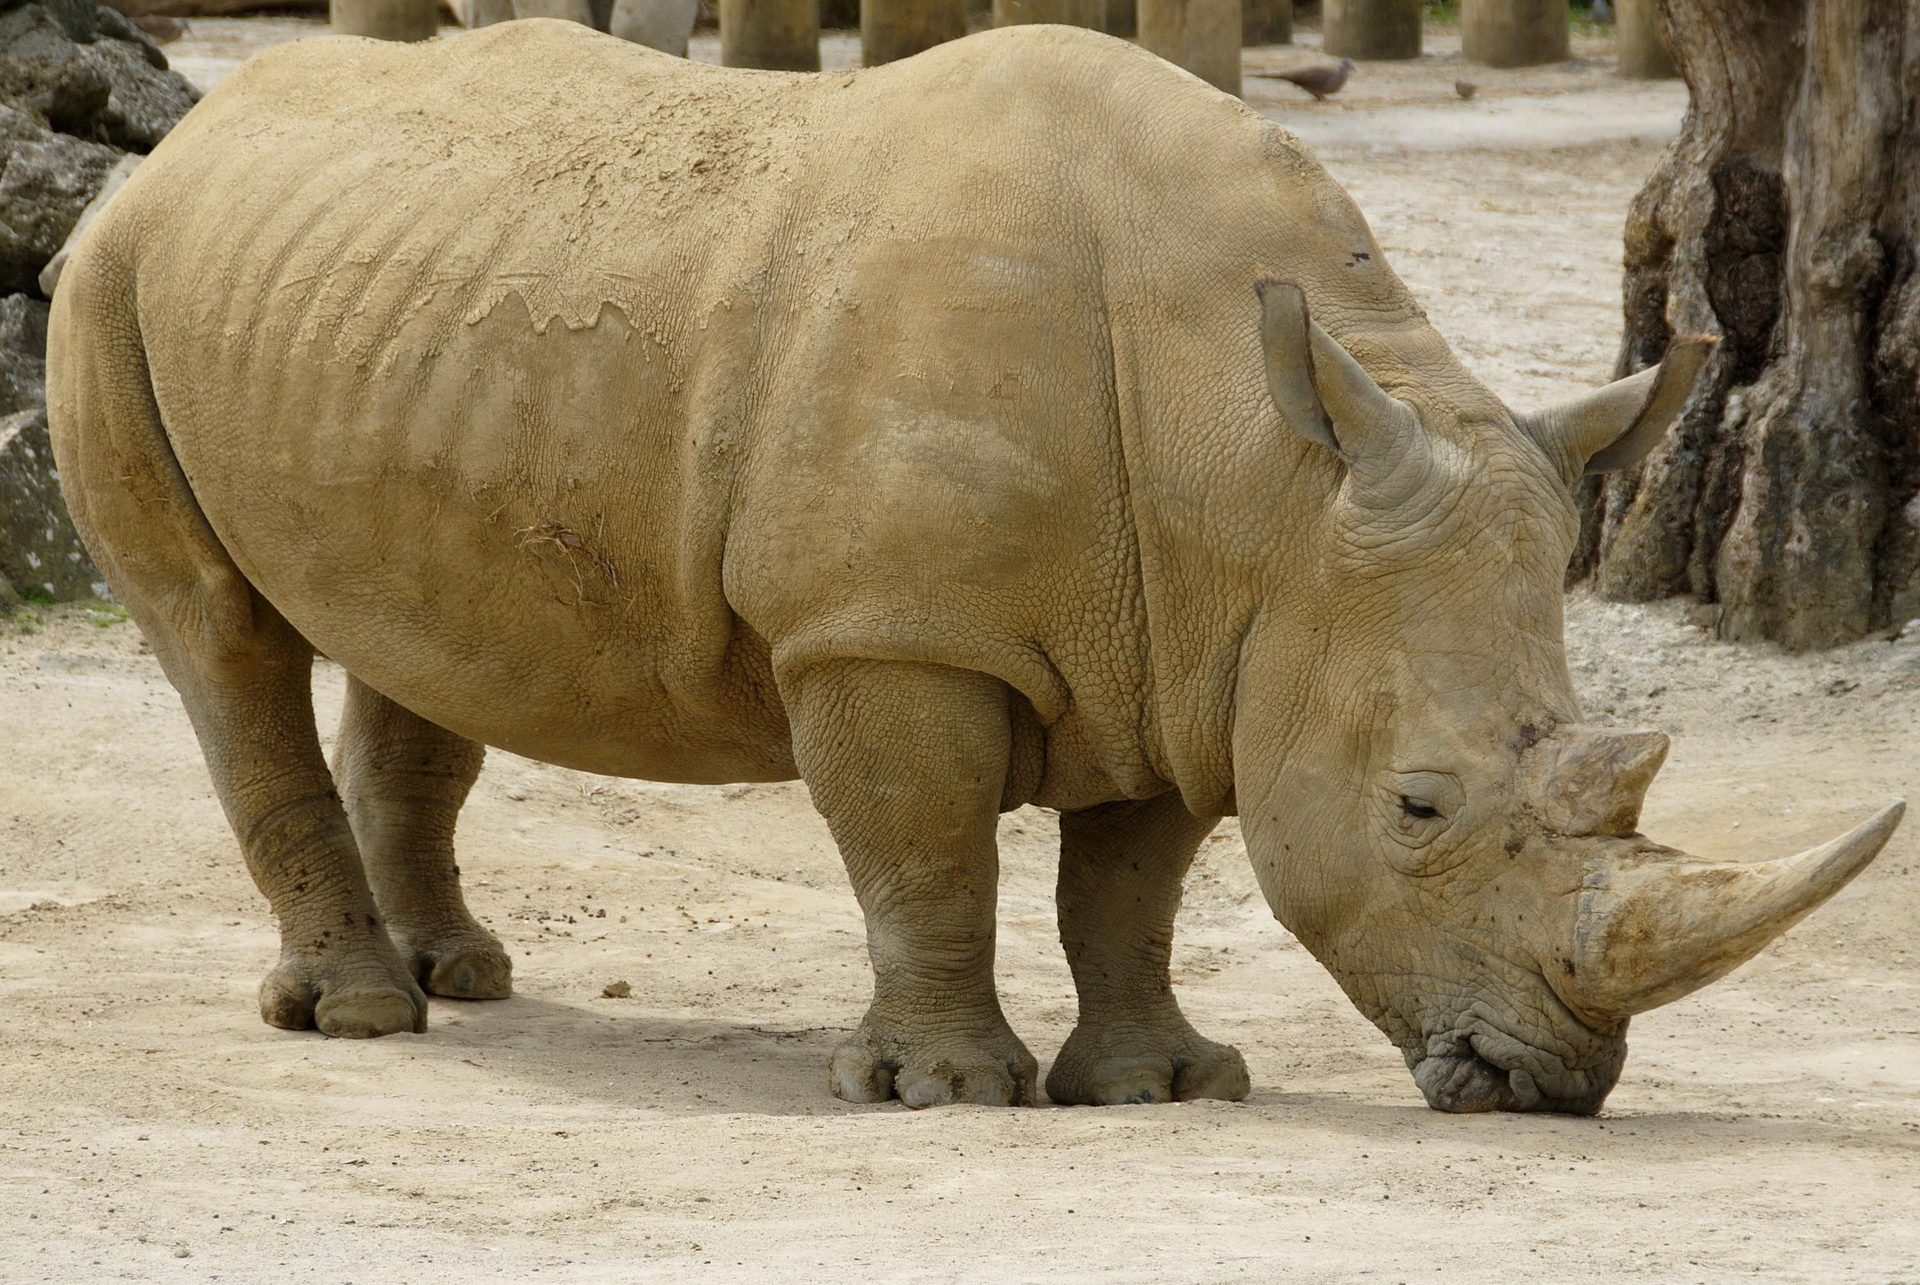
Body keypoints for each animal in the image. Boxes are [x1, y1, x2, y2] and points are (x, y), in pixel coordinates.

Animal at [46, 21, 1901, 1114]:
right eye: (1420, 806)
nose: (1553, 1081)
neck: (1263, 477)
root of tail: (195, 128)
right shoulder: (889, 632)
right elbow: (926, 850)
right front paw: (944, 1092)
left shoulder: (1197, 646)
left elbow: (1129, 886)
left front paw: (1163, 1087)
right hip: (106, 271)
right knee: (220, 639)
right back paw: (365, 1018)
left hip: (391, 312)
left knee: (418, 635)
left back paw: (465, 977)